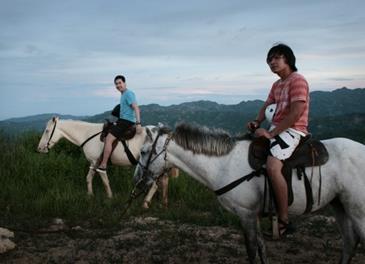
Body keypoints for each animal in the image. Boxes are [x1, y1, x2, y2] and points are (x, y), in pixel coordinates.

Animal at [37, 117, 175, 206]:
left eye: (47, 131)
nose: (39, 148)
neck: (87, 134)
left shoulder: (98, 163)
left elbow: (104, 180)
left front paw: (109, 197)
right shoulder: (93, 164)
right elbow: (89, 178)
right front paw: (90, 195)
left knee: (156, 184)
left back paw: (146, 204)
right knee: (163, 181)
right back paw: (163, 202)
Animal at [133, 124, 364, 264]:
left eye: (144, 152)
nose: (137, 180)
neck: (223, 164)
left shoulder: (245, 214)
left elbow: (252, 251)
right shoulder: (253, 215)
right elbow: (261, 249)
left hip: (358, 211)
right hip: (339, 205)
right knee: (349, 242)